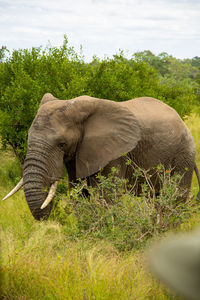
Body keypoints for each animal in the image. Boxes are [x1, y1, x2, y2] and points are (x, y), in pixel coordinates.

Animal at [2, 94, 200, 220]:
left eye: (62, 144)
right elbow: (78, 194)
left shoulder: (114, 153)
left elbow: (106, 197)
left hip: (184, 155)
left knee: (175, 198)